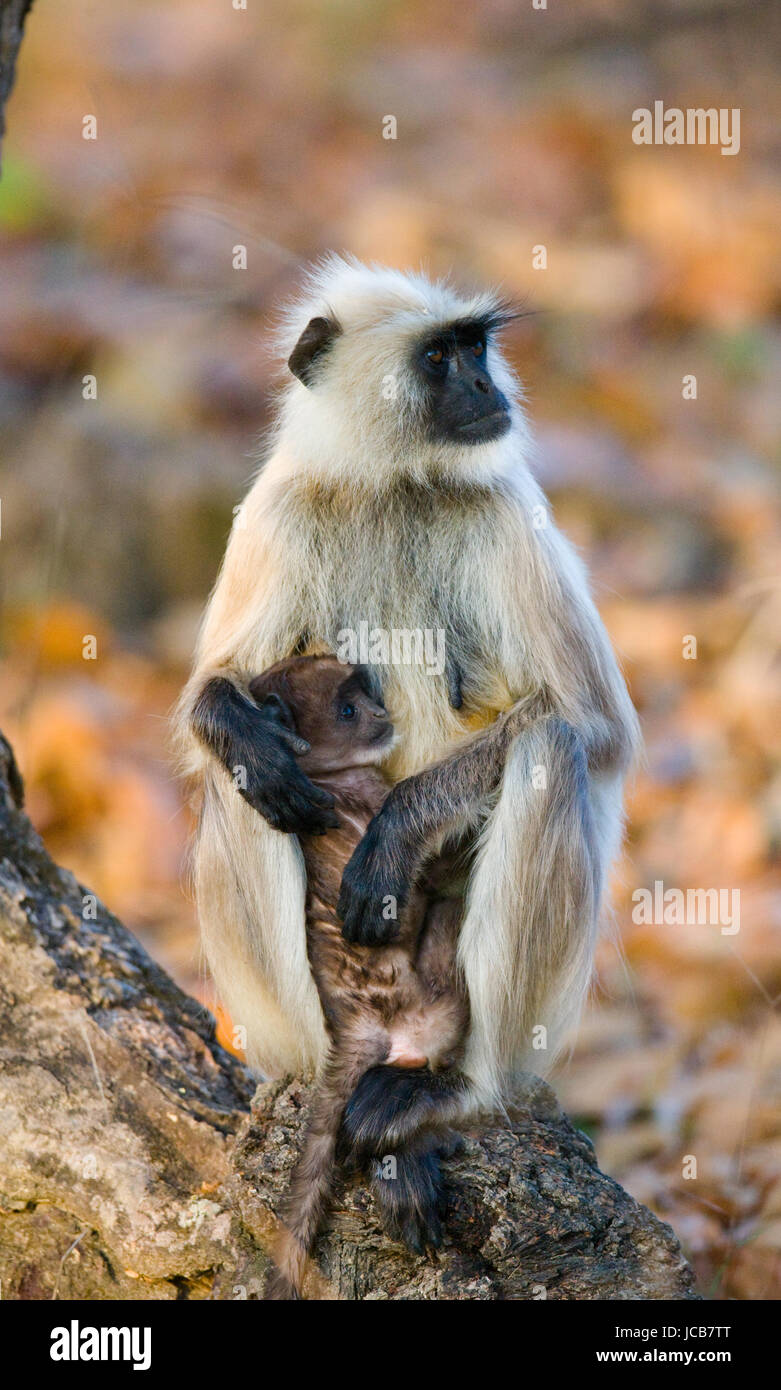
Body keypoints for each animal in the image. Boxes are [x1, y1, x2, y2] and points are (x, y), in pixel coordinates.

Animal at [177, 255, 639, 1223]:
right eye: (439, 358)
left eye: (476, 348)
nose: (487, 389)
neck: (393, 482)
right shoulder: (278, 510)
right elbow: (208, 701)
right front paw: (242, 731)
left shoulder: (506, 508)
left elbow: (592, 724)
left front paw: (393, 833)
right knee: (245, 791)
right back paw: (326, 1078)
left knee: (549, 752)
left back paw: (452, 1087)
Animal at [248, 656, 466, 1295]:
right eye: (347, 710)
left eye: (364, 694)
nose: (380, 713)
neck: (329, 779)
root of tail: (354, 1022)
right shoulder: (365, 806)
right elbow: (418, 883)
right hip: (433, 999)